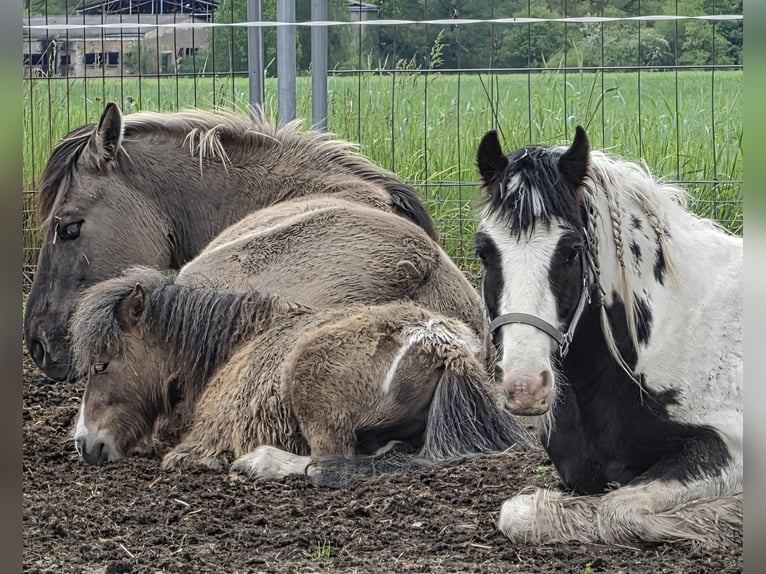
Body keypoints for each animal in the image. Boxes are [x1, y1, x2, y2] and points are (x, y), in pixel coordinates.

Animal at [70, 266, 535, 483]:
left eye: (100, 365)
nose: (84, 443)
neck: (239, 343)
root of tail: (442, 344)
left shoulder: (202, 442)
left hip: (312, 392)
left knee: (328, 464)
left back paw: (262, 462)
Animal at [474, 126, 742, 546]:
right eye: (484, 251)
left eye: (571, 250)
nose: (525, 386)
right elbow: (518, 514)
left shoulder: (730, 444)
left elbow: (617, 509)